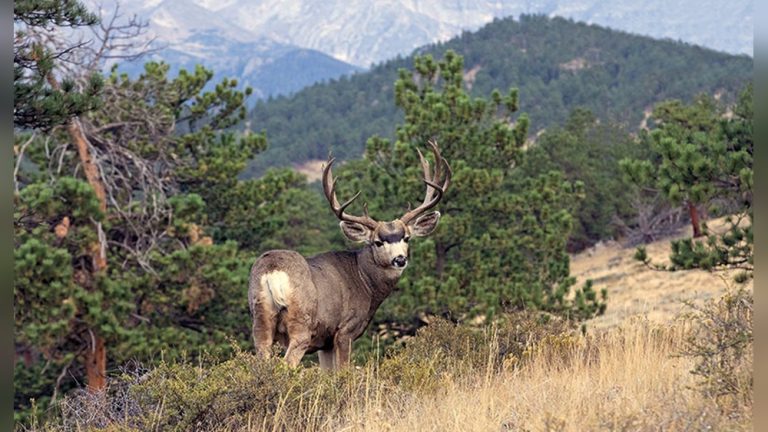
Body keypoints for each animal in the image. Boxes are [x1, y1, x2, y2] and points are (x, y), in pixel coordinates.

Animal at [248, 141, 451, 369]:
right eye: (377, 242)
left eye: (406, 238)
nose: (399, 259)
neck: (365, 282)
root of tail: (273, 271)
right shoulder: (346, 329)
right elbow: (343, 370)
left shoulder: (324, 341)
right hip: (302, 322)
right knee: (289, 360)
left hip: (260, 318)